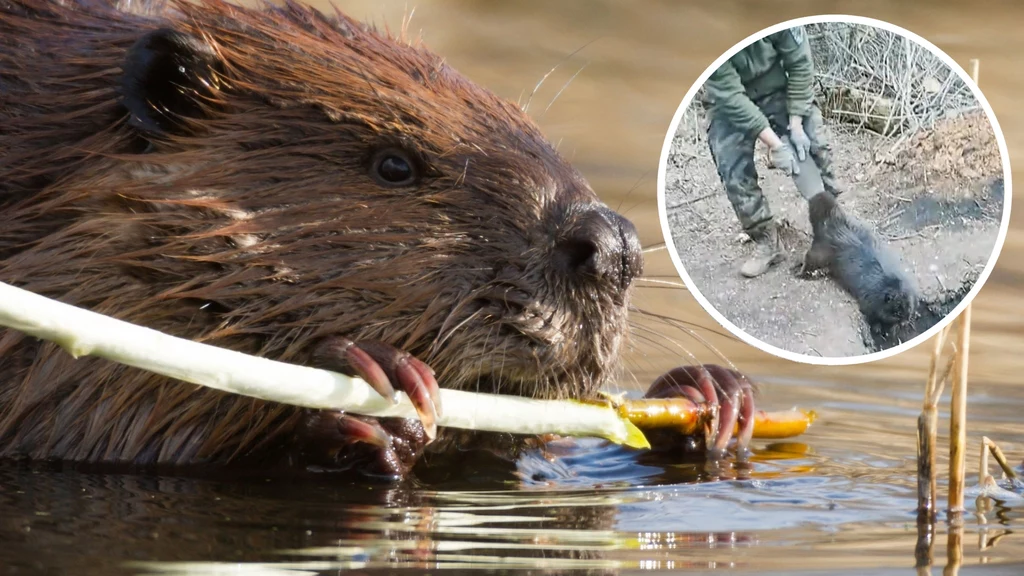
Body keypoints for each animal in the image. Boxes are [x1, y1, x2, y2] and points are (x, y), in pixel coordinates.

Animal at [798, 190, 921, 338]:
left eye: (909, 308)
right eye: (896, 312)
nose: (905, 322)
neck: (886, 284)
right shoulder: (870, 304)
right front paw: (880, 328)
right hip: (819, 253)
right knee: (809, 260)